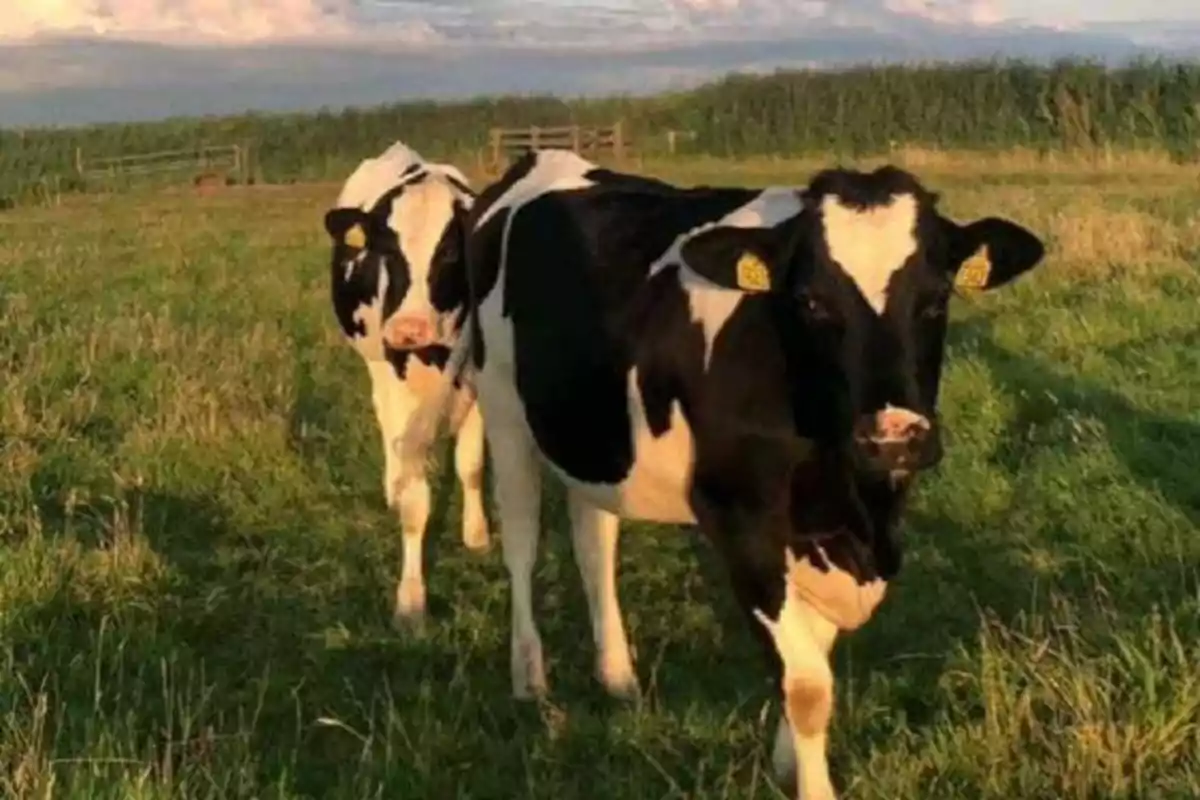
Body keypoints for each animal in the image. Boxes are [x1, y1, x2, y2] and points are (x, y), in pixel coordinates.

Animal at [324, 142, 487, 633]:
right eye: (386, 252)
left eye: (451, 250)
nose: (407, 330)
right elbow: (417, 502)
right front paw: (411, 600)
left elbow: (471, 466)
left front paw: (477, 534)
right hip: (376, 363)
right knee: (386, 422)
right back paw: (392, 486)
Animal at [398, 151, 1046, 800]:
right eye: (811, 301)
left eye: (936, 299)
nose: (893, 436)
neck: (849, 502)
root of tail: (543, 158)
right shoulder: (742, 521)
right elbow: (807, 683)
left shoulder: (828, 535)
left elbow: (810, 653)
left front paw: (786, 760)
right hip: (504, 412)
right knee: (523, 544)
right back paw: (529, 676)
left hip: (595, 439)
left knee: (594, 543)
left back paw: (617, 674)